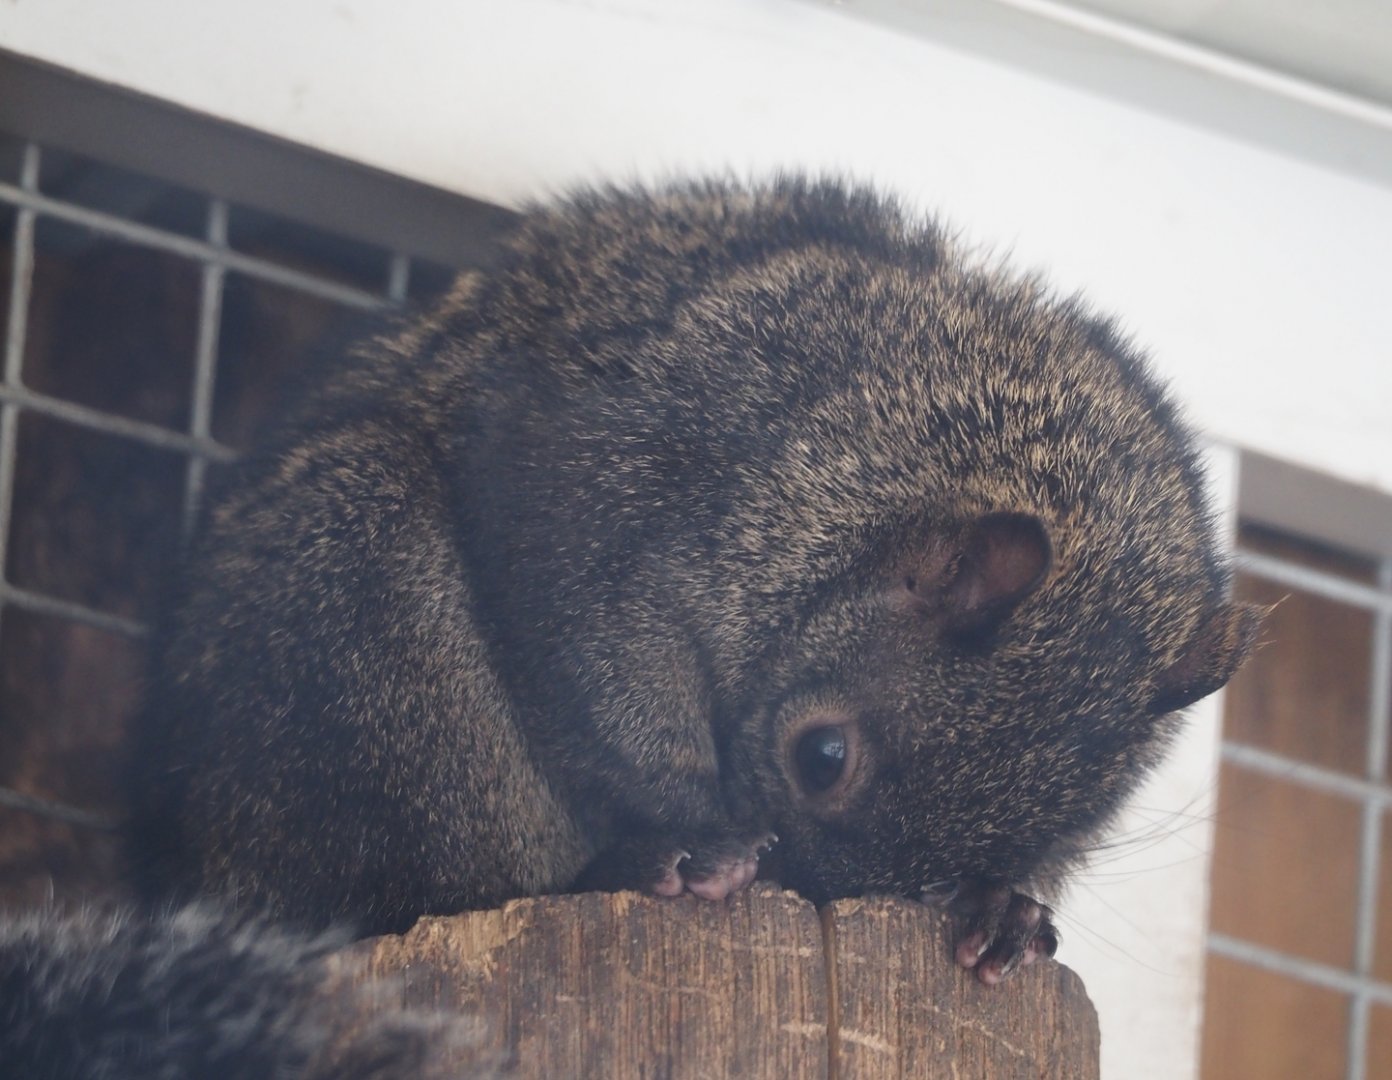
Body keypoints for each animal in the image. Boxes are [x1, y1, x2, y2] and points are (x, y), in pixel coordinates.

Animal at [120, 176, 1260, 988]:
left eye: (1014, 844)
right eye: (822, 757)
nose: (811, 892)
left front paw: (1004, 912)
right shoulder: (619, 478)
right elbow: (595, 671)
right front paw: (688, 829)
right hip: (352, 622)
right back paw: (632, 866)